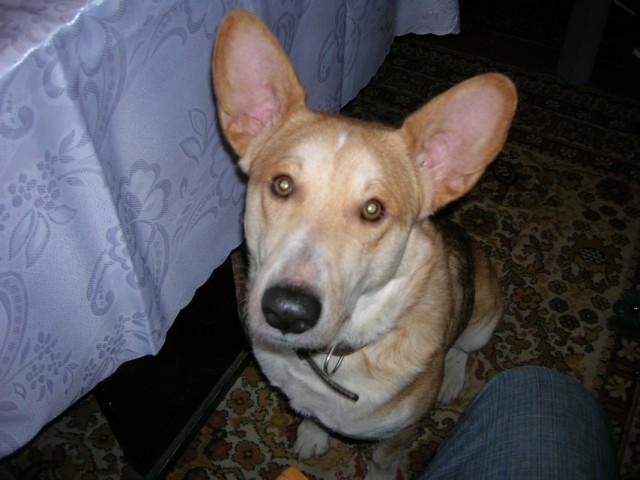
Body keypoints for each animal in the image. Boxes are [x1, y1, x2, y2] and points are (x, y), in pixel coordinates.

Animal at [213, 10, 516, 479]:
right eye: (282, 185)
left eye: (373, 210)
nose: (287, 311)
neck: (337, 353)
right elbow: (313, 414)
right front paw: (313, 434)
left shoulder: (400, 435)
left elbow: (382, 461)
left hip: (483, 318)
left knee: (463, 350)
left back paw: (451, 378)